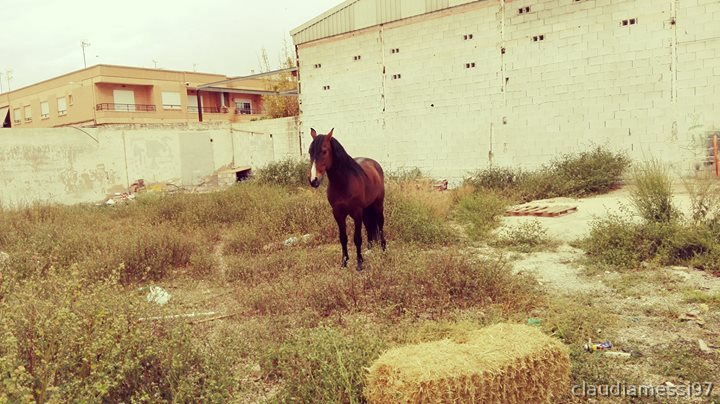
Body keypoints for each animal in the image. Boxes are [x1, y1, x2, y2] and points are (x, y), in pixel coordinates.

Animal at [307, 128, 386, 271]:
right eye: (310, 152)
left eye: (324, 151)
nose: (313, 180)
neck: (344, 182)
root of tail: (375, 165)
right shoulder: (338, 214)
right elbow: (343, 238)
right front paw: (344, 262)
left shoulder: (356, 213)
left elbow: (357, 238)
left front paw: (359, 263)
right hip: (366, 209)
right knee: (369, 227)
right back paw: (370, 250)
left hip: (378, 205)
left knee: (380, 224)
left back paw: (383, 249)